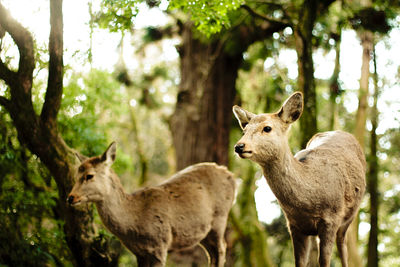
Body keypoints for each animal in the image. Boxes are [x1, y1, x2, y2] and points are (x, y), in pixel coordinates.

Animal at [67, 143, 236, 267]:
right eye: (76, 174)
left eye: (89, 175)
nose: (70, 197)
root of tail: (232, 176)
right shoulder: (139, 252)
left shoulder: (159, 245)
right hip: (203, 232)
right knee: (212, 253)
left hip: (220, 218)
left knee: (221, 248)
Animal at [233, 91, 368, 266]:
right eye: (245, 130)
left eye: (267, 128)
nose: (239, 146)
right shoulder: (294, 225)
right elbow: (300, 261)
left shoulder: (331, 218)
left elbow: (324, 260)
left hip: (350, 215)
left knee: (343, 245)